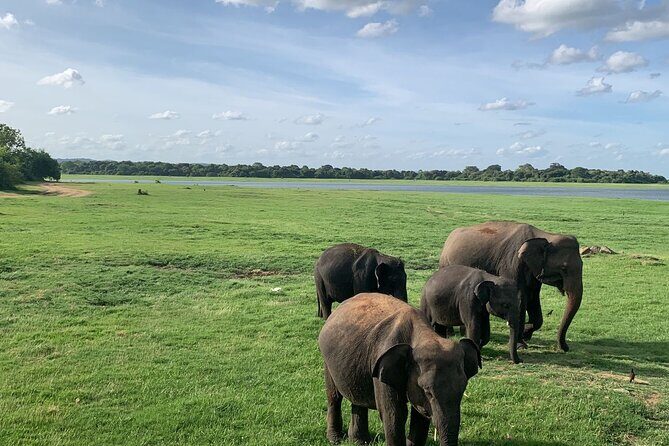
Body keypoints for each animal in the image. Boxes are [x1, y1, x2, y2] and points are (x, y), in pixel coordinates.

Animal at [318, 293, 481, 446]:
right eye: (428, 392)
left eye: (462, 390)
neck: (425, 336)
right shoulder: (381, 368)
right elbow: (394, 415)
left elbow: (420, 416)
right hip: (327, 361)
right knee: (334, 396)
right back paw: (335, 439)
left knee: (358, 398)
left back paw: (360, 441)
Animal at [439, 221, 583, 352]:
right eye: (564, 268)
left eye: (582, 264)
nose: (565, 348)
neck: (544, 235)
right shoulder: (511, 264)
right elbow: (520, 298)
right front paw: (521, 344)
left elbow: (532, 298)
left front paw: (526, 333)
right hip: (445, 263)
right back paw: (450, 333)